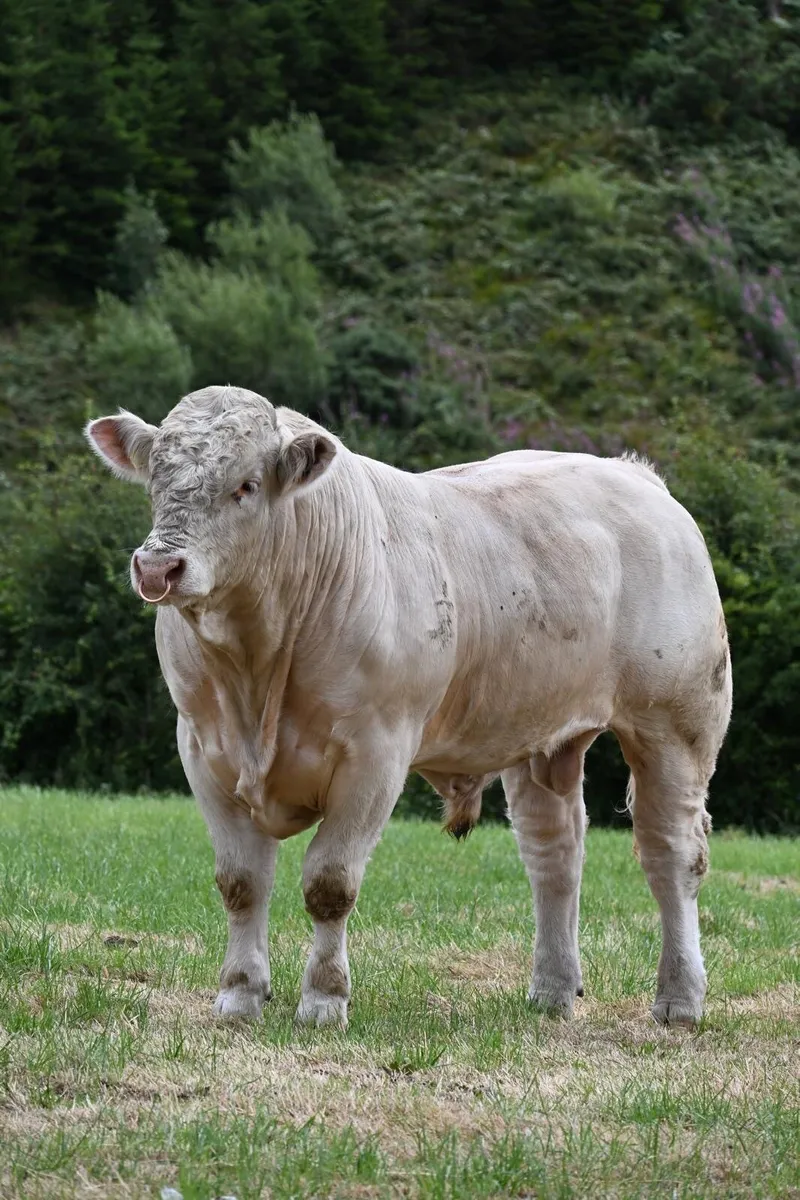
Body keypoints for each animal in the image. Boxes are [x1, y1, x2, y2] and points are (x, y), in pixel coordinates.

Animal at [86, 385, 732, 1029]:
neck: (256, 670)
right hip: (538, 734)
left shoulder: (376, 753)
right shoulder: (202, 748)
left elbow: (330, 883)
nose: (157, 566)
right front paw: (240, 995)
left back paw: (679, 998)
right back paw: (552, 990)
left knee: (671, 853)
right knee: (554, 852)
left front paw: (324, 1000)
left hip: (675, 725)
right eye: (155, 478)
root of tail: (636, 475)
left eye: (245, 484)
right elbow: (241, 881)